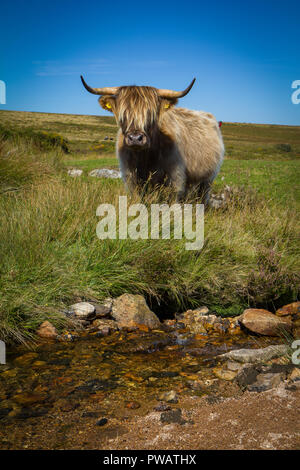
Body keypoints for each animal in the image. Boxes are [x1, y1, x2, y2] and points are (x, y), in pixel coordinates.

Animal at [81, 75, 224, 204]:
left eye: (151, 115)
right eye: (123, 115)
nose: (135, 138)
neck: (144, 158)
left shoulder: (175, 177)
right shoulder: (130, 177)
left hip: (208, 177)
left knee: (203, 194)